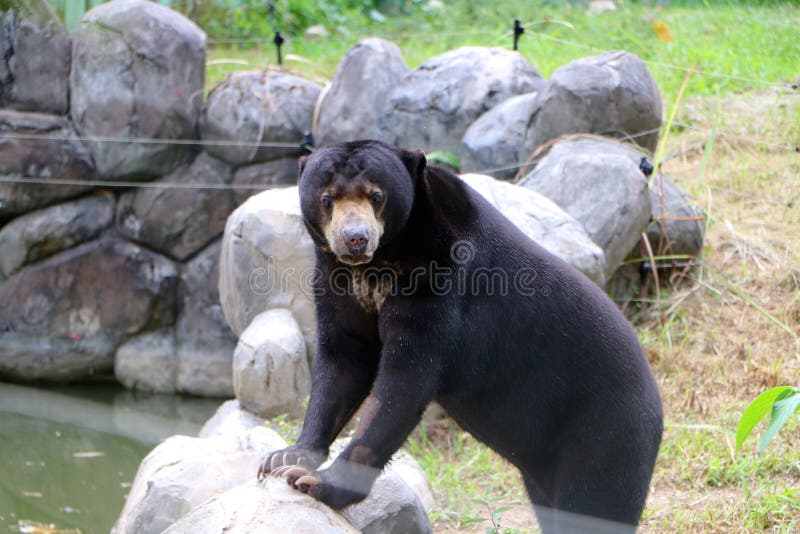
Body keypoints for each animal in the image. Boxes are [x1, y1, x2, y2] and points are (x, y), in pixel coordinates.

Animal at [258, 140, 664, 532]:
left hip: (603, 432)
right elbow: (345, 361)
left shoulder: (439, 281)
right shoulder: (337, 281)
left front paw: (314, 481)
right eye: (327, 198)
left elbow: (403, 384)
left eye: (376, 196)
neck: (384, 260)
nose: (354, 239)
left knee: (595, 505)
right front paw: (285, 457)